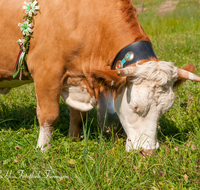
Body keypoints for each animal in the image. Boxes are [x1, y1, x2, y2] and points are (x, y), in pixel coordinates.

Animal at [0, 0, 200, 154]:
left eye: (165, 110)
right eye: (135, 106)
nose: (148, 152)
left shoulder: (77, 79)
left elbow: (78, 116)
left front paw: (73, 141)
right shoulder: (46, 71)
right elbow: (49, 115)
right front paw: (43, 150)